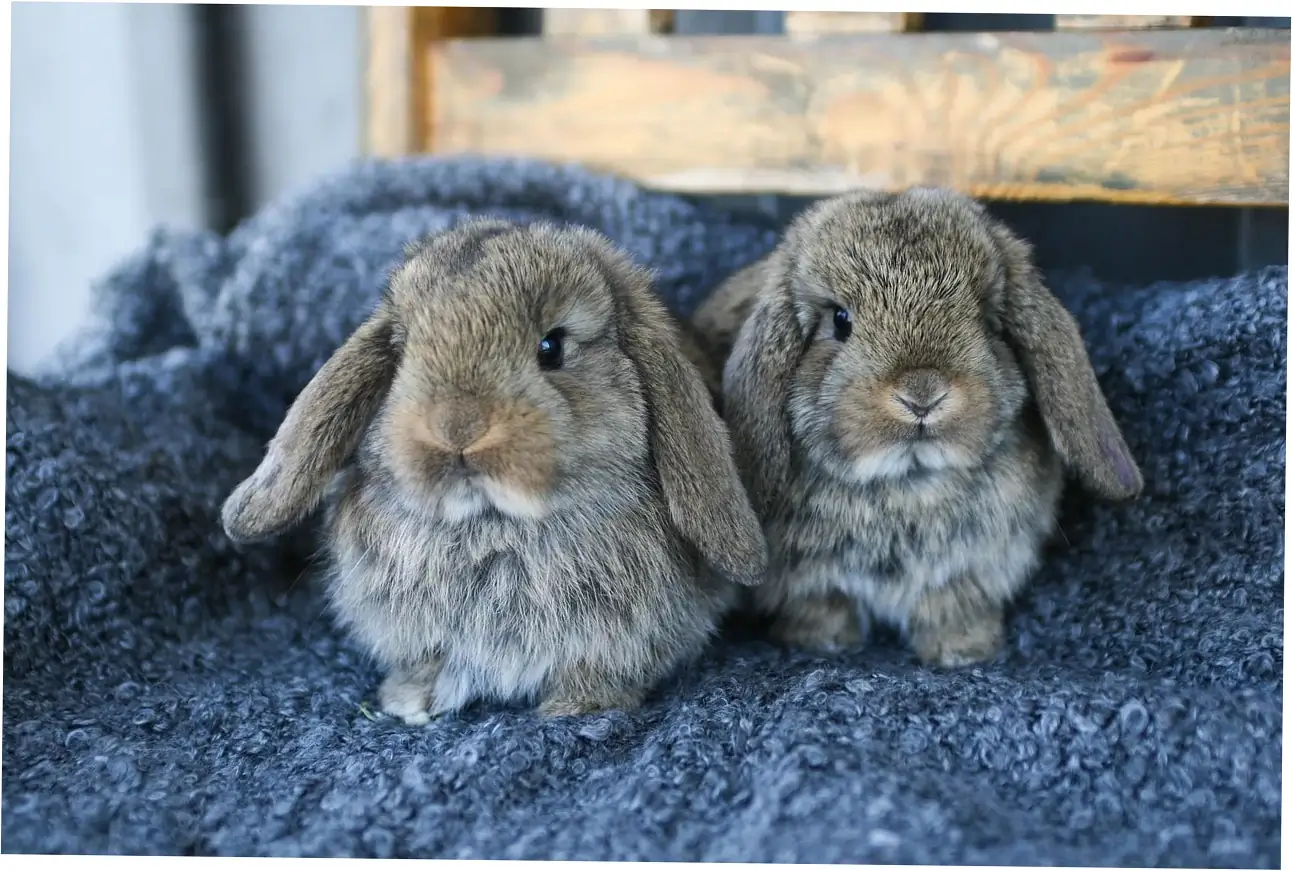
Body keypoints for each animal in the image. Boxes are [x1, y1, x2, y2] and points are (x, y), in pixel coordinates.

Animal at [220, 218, 768, 723]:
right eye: (403, 351)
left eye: (552, 347)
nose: (456, 427)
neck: (494, 523)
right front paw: (411, 702)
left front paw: (577, 707)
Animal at [690, 187, 1143, 668]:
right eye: (840, 321)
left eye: (986, 321)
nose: (922, 394)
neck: (907, 479)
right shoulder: (813, 581)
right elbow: (824, 607)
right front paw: (820, 645)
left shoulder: (966, 572)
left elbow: (950, 606)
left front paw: (964, 651)